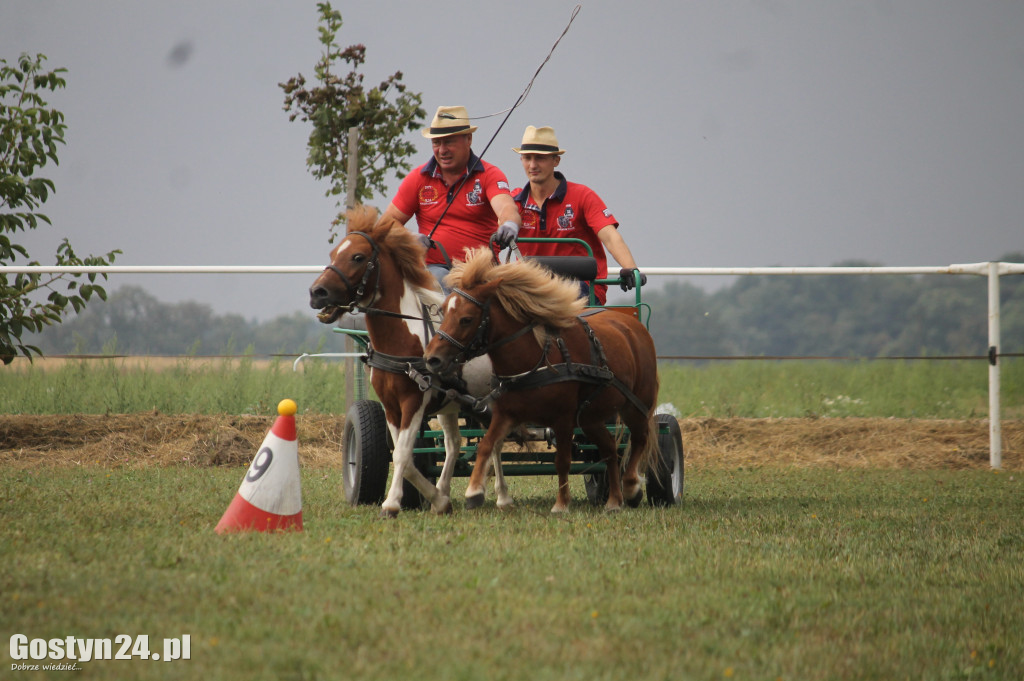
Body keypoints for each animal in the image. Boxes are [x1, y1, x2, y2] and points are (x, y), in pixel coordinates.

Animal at [303, 205, 499, 516]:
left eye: (358, 257)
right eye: (334, 253)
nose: (316, 292)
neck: (402, 336)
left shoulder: (413, 401)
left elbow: (404, 453)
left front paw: (391, 503)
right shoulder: (391, 404)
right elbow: (402, 458)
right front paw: (438, 499)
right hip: (453, 404)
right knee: (456, 444)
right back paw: (450, 491)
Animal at [421, 248, 655, 509]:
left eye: (466, 319)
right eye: (442, 311)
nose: (432, 358)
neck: (534, 360)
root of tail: (630, 323)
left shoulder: (563, 418)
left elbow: (562, 460)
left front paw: (561, 504)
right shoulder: (504, 413)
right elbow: (486, 445)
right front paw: (474, 492)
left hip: (635, 405)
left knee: (639, 440)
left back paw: (632, 486)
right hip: (590, 417)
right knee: (610, 450)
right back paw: (614, 500)